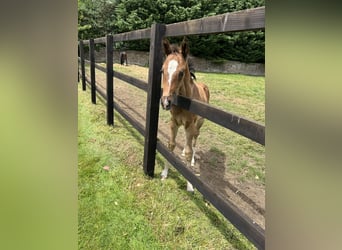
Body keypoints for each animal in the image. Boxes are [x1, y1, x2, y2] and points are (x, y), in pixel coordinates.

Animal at [160, 38, 210, 192]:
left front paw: (190, 185)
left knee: (194, 140)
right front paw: (165, 173)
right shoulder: (174, 122)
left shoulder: (189, 125)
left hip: (199, 124)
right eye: (162, 70)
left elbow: (188, 152)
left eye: (181, 72)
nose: (165, 102)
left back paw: (193, 159)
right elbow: (171, 145)